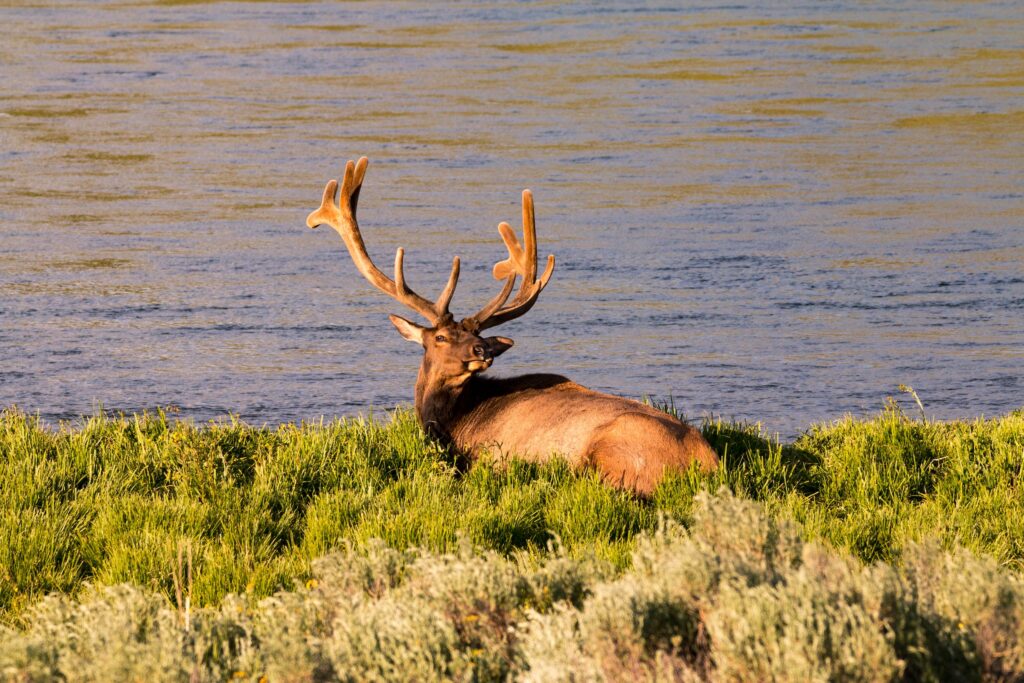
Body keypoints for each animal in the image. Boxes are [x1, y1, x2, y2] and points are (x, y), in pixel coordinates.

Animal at [306, 157, 718, 495]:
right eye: (440, 336)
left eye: (477, 335)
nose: (482, 351)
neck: (450, 420)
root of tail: (708, 464)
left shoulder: (487, 455)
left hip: (611, 452)